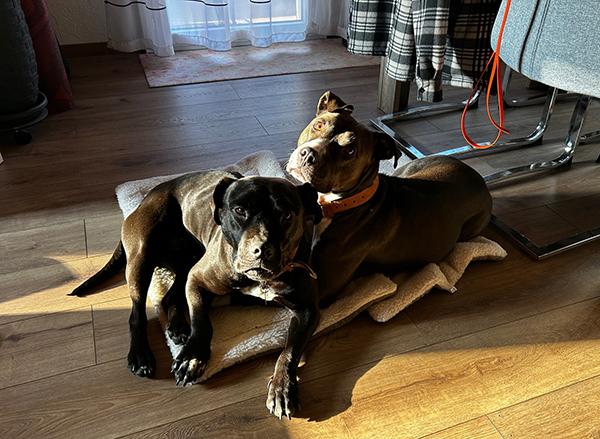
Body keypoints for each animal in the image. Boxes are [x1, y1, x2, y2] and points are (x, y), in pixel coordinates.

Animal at [70, 171, 322, 419]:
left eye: (287, 215)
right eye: (239, 211)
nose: (260, 250)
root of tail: (149, 196)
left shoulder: (308, 309)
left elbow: (290, 351)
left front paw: (282, 388)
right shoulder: (197, 280)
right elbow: (201, 321)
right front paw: (192, 357)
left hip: (186, 262)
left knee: (169, 296)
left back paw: (177, 327)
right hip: (142, 256)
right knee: (137, 312)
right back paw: (141, 355)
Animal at [287, 91, 493, 305]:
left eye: (350, 151)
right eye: (318, 125)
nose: (308, 155)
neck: (344, 202)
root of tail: (478, 177)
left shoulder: (320, 288)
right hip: (409, 169)